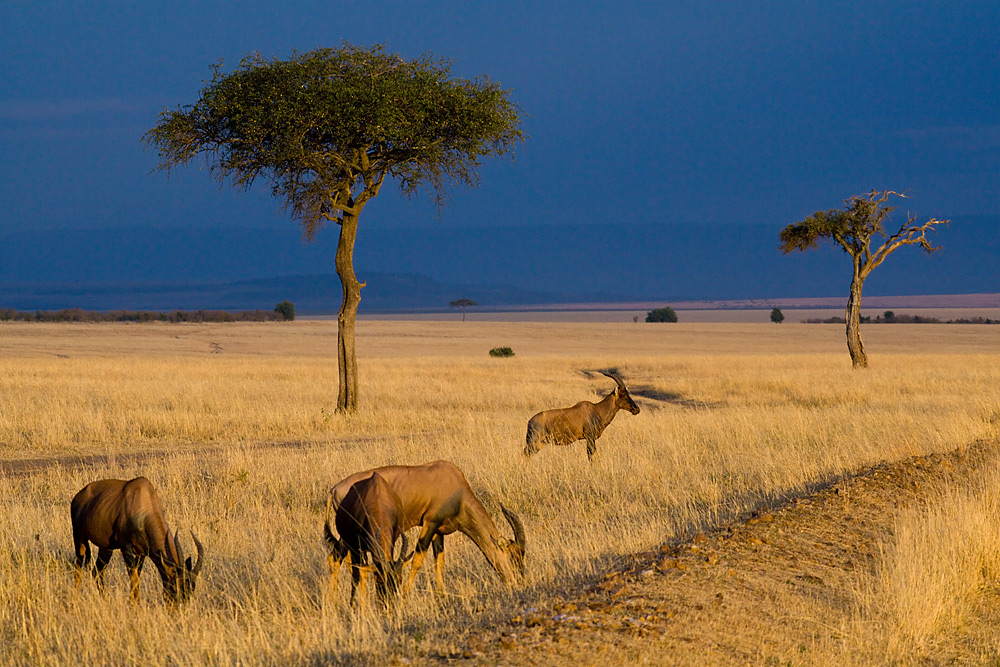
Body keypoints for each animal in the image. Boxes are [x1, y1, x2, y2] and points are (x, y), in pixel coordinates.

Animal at [70, 474, 203, 604]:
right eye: (174, 586)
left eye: (191, 591)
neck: (142, 502)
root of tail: (78, 496)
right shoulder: (126, 548)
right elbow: (134, 579)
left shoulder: (141, 553)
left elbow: (136, 576)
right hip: (79, 538)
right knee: (78, 569)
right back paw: (74, 602)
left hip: (106, 548)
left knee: (97, 572)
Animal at [322, 472, 412, 608]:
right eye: (380, 579)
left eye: (399, 580)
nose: (388, 607)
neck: (378, 500)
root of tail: (333, 492)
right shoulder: (357, 547)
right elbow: (358, 575)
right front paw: (355, 607)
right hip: (348, 541)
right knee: (340, 562)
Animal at [326, 462, 532, 596]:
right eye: (513, 556)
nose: (520, 584)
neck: (455, 486)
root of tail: (334, 489)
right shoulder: (429, 523)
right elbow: (418, 560)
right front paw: (405, 595)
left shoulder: (438, 531)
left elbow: (438, 562)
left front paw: (441, 595)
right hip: (351, 535)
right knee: (338, 559)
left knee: (335, 558)